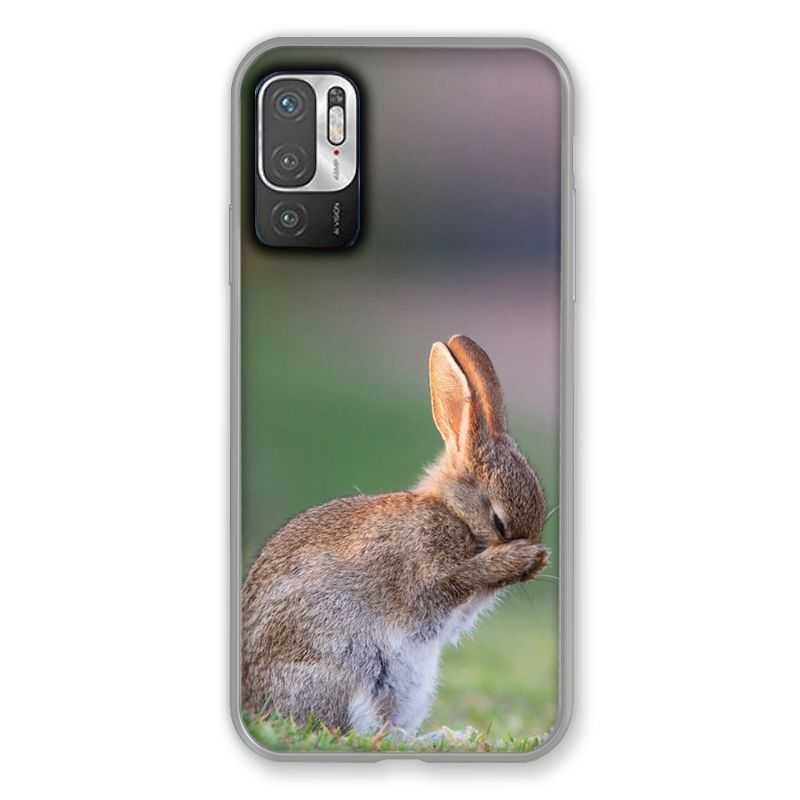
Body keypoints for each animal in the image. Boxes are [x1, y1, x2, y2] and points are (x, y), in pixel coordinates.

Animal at [241, 334, 549, 736]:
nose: (536, 558)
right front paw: (518, 558)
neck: (453, 512)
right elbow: (452, 581)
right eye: (498, 521)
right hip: (351, 667)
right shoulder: (425, 572)